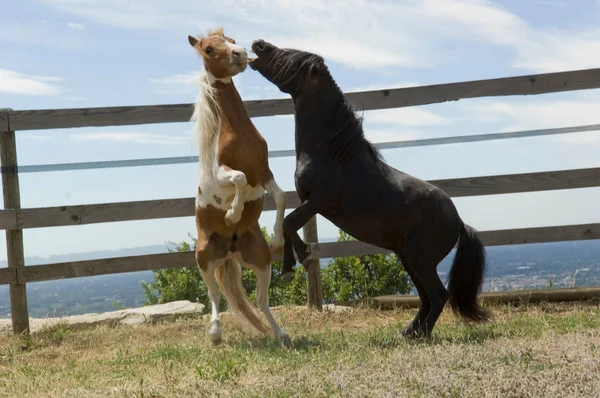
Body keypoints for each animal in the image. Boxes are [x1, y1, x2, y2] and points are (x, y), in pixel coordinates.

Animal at [189, 28, 290, 346]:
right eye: (208, 49)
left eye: (231, 39)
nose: (241, 54)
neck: (236, 132)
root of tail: (230, 252)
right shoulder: (221, 173)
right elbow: (239, 180)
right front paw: (232, 214)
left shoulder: (264, 172)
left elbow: (281, 197)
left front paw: (278, 240)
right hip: (205, 260)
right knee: (214, 296)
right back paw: (215, 334)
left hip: (260, 261)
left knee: (260, 300)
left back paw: (281, 333)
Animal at [248, 38, 488, 338]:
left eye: (292, 58)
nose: (259, 45)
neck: (331, 153)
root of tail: (459, 222)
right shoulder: (309, 202)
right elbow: (287, 225)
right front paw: (289, 268)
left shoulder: (318, 201)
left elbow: (289, 223)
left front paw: (301, 260)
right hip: (408, 257)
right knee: (425, 297)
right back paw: (408, 332)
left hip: (419, 259)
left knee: (438, 295)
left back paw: (420, 335)